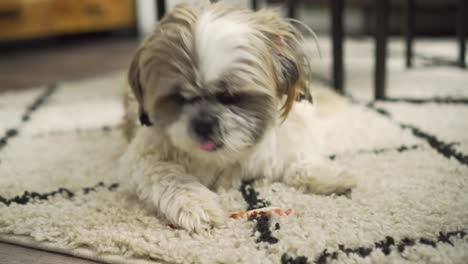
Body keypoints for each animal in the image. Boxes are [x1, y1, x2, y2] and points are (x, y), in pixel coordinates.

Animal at [119, 1, 354, 231]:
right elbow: (168, 177)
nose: (204, 123)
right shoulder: (145, 157)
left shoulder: (279, 147)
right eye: (180, 98)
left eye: (230, 96)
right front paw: (196, 206)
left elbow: (299, 160)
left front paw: (331, 176)